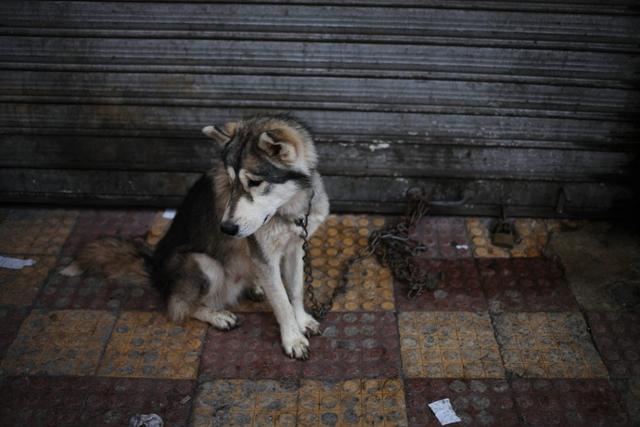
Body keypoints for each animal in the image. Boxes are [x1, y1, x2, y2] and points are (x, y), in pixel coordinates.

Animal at [63, 113, 330, 358]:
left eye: (254, 182)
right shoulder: (264, 256)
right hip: (205, 264)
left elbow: (294, 290)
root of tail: (154, 269)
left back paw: (253, 286)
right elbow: (281, 302)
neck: (290, 210)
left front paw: (302, 320)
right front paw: (292, 338)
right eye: (231, 182)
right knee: (179, 306)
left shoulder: (295, 248)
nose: (227, 229)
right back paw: (217, 315)